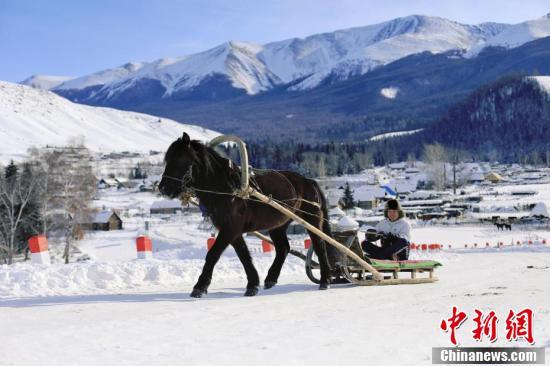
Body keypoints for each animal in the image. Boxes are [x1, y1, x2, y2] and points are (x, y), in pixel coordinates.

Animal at [157, 134, 334, 298]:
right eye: (167, 159)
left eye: (182, 160)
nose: (163, 188)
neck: (228, 188)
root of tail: (310, 181)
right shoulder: (232, 230)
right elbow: (244, 255)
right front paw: (253, 284)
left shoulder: (230, 228)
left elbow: (213, 254)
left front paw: (200, 287)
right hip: (278, 224)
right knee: (283, 248)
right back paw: (271, 278)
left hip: (311, 219)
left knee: (319, 245)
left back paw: (325, 279)